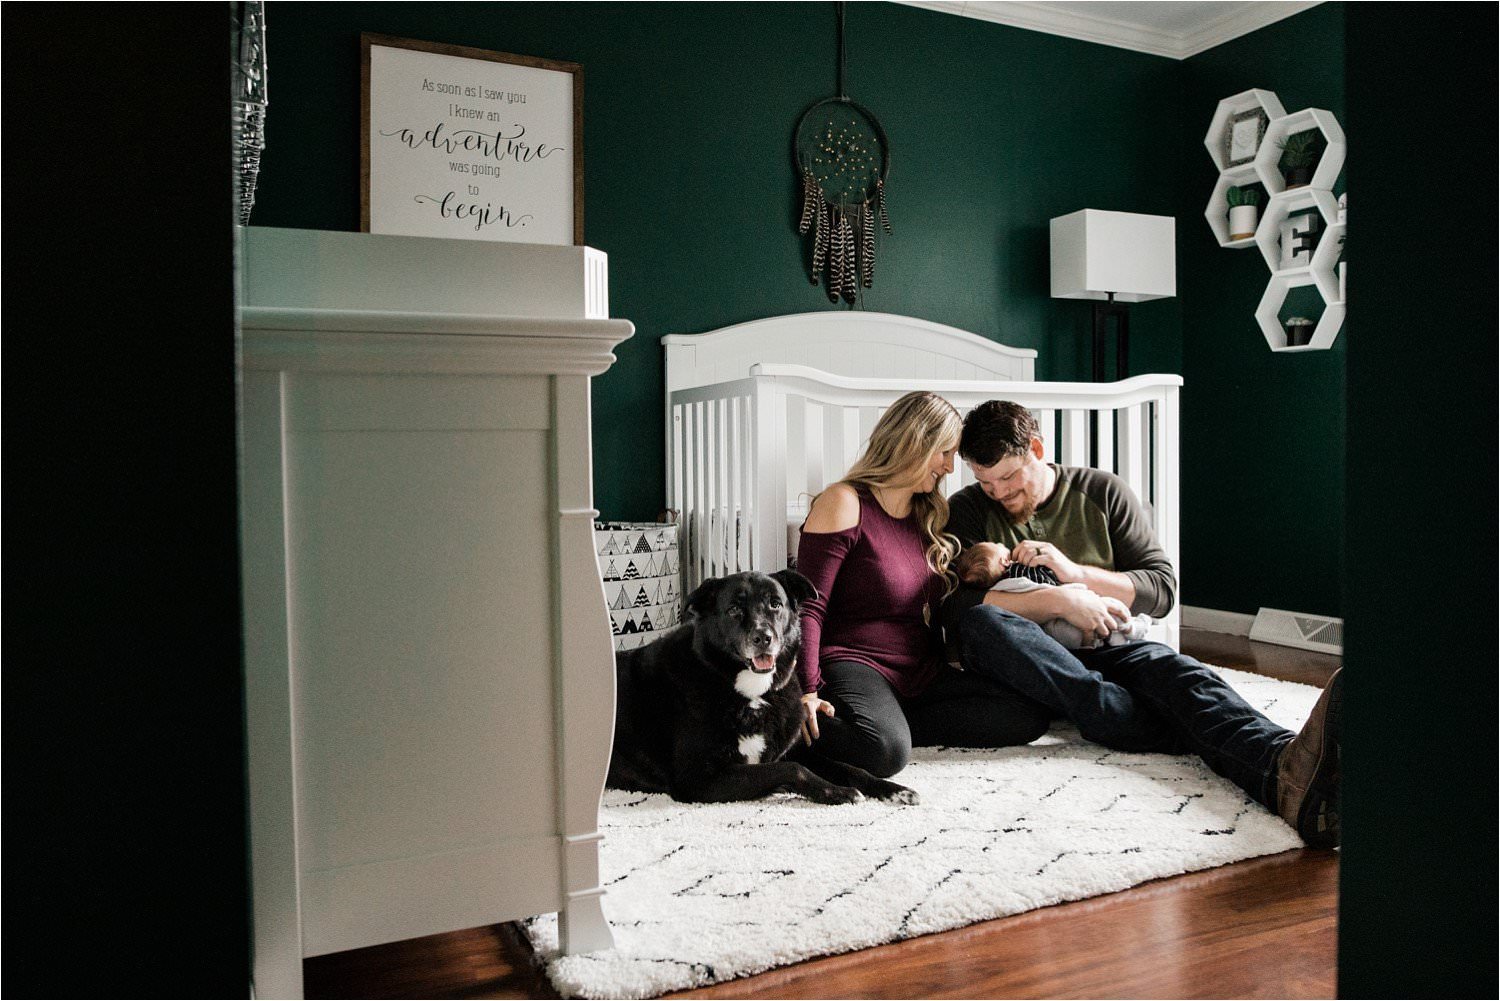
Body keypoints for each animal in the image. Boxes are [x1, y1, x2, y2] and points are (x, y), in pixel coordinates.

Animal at [606, 570, 912, 804]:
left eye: (775, 604)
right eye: (733, 610)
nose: (763, 637)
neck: (750, 694)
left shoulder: (793, 749)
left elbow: (849, 767)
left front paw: (894, 789)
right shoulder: (699, 779)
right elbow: (793, 769)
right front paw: (838, 792)